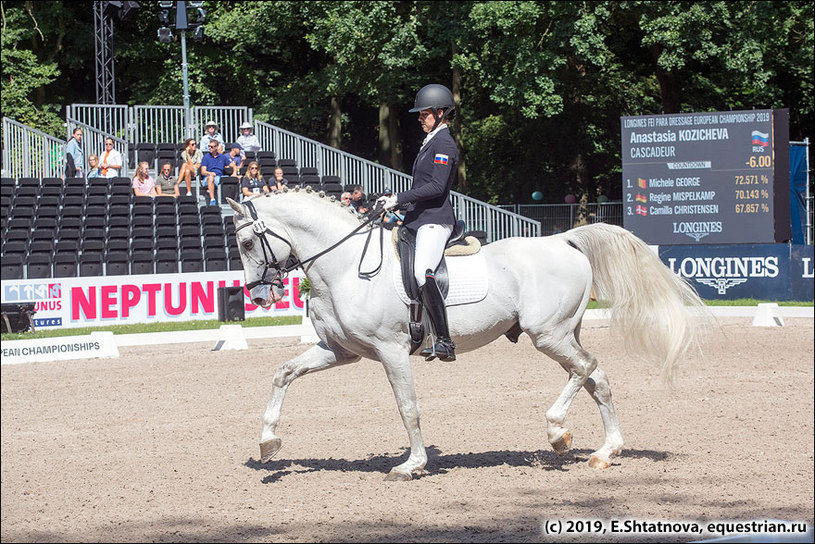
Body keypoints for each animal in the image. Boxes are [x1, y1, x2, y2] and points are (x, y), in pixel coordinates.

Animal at [226, 188, 704, 480]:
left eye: (248, 243)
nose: (259, 296)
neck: (345, 266)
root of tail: (562, 239)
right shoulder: (339, 351)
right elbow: (283, 372)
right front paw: (269, 442)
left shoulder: (390, 350)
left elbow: (408, 407)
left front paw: (412, 464)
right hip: (564, 334)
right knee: (595, 377)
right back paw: (605, 452)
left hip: (548, 334)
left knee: (585, 369)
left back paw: (557, 433)